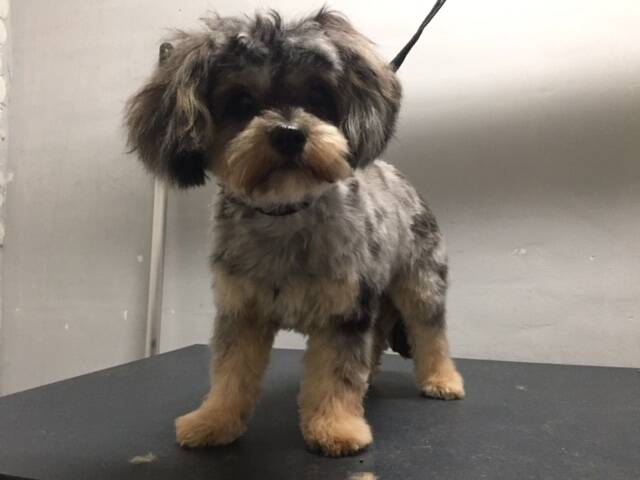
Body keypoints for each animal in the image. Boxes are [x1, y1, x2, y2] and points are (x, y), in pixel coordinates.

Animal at [125, 8, 464, 457]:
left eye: (317, 96)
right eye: (241, 102)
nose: (288, 133)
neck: (284, 213)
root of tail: (402, 180)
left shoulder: (343, 312)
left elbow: (336, 375)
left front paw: (337, 428)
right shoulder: (241, 312)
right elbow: (230, 372)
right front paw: (214, 420)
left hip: (420, 283)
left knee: (431, 332)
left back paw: (441, 379)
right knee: (376, 341)